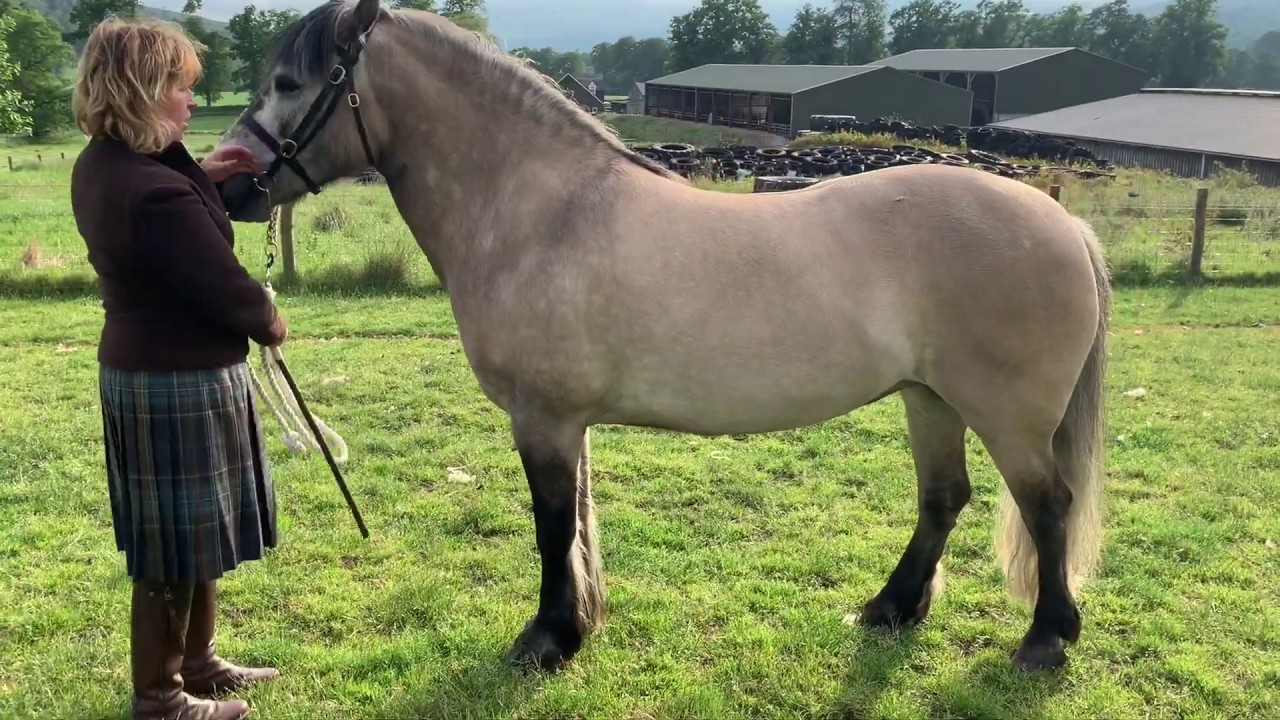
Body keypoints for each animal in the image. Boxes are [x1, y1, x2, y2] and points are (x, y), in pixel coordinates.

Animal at [215, 0, 1112, 675]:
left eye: (290, 81)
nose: (229, 184)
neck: (540, 210)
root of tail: (1066, 223)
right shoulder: (564, 422)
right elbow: (575, 524)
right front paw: (575, 626)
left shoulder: (543, 419)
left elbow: (552, 526)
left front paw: (545, 640)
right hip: (929, 398)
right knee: (943, 498)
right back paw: (891, 609)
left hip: (1005, 415)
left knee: (1047, 505)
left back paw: (1044, 639)